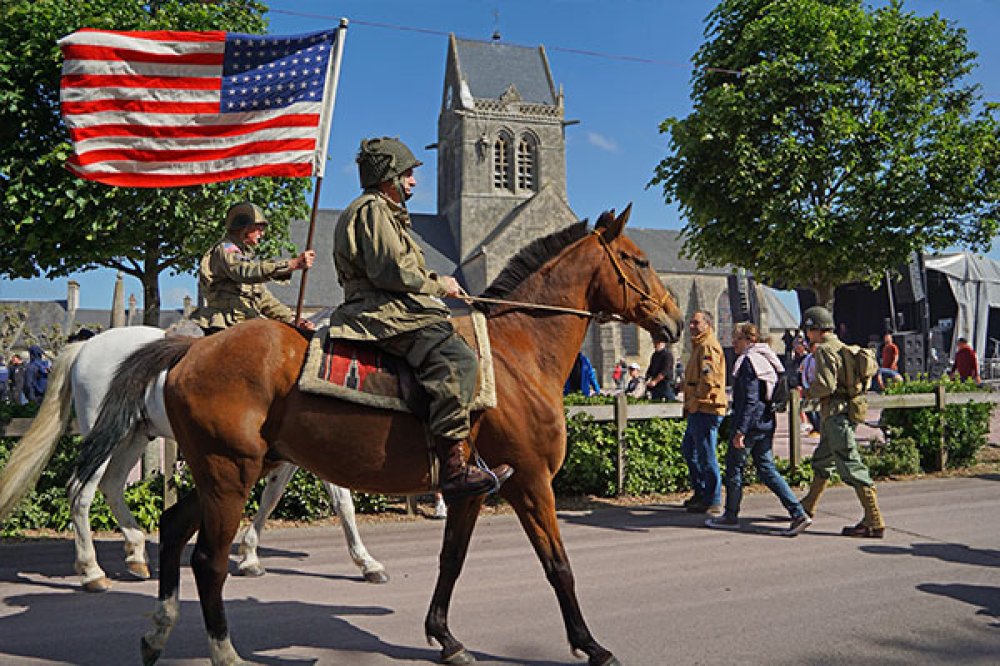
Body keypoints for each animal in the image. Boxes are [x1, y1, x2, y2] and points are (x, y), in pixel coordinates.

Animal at [0, 324, 386, 588]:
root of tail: (87, 345)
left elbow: (275, 498)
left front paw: (250, 555)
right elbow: (338, 501)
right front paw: (368, 562)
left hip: (134, 436)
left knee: (112, 486)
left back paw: (135, 553)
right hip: (105, 434)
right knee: (80, 491)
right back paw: (92, 570)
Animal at [74, 205, 684, 660]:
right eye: (639, 260)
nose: (675, 321)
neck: (517, 355)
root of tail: (188, 348)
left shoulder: (472, 487)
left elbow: (451, 562)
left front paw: (444, 637)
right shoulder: (531, 482)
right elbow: (558, 565)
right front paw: (590, 645)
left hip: (220, 470)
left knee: (174, 526)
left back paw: (156, 627)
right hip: (227, 472)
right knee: (201, 556)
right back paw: (214, 644)